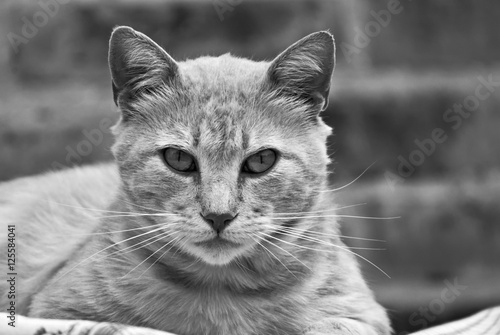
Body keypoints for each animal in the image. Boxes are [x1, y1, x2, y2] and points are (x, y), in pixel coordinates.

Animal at [0, 26, 390, 335]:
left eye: (261, 160)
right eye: (178, 159)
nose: (218, 216)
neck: (222, 292)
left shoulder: (361, 314)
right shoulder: (61, 311)